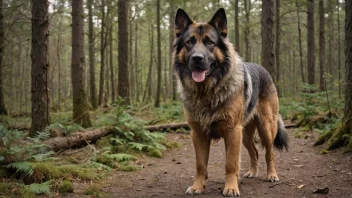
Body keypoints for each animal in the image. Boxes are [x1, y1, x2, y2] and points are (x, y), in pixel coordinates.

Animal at [173, 8, 288, 196]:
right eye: (189, 42)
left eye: (210, 42)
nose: (197, 58)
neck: (207, 91)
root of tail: (264, 70)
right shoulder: (198, 134)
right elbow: (200, 165)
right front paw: (198, 186)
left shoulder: (232, 131)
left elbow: (231, 163)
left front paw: (231, 187)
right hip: (245, 134)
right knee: (254, 152)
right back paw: (252, 172)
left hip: (265, 128)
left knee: (268, 153)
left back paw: (271, 175)